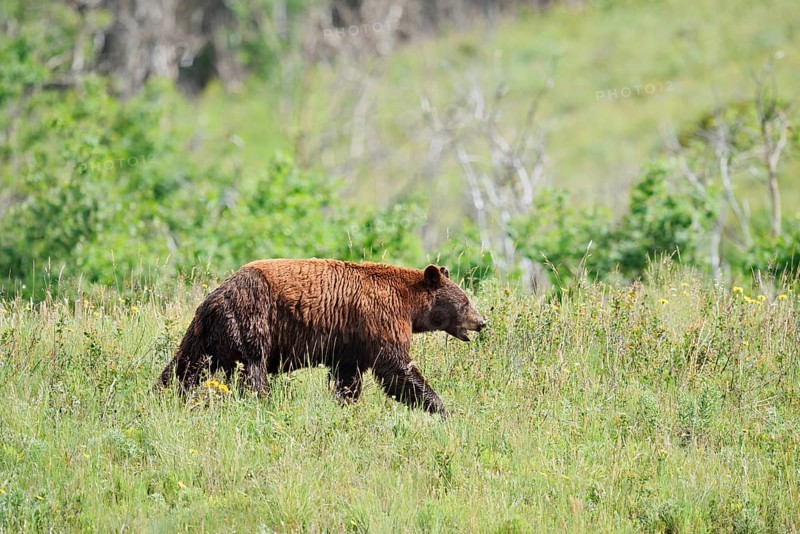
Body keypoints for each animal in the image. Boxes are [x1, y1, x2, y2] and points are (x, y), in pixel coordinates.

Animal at [157, 259, 486, 417]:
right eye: (465, 301)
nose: (482, 322)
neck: (409, 305)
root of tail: (216, 297)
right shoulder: (380, 318)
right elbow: (396, 368)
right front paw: (441, 409)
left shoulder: (350, 343)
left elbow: (348, 377)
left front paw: (348, 404)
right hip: (252, 319)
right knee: (253, 371)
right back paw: (263, 401)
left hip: (205, 334)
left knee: (185, 365)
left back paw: (162, 392)